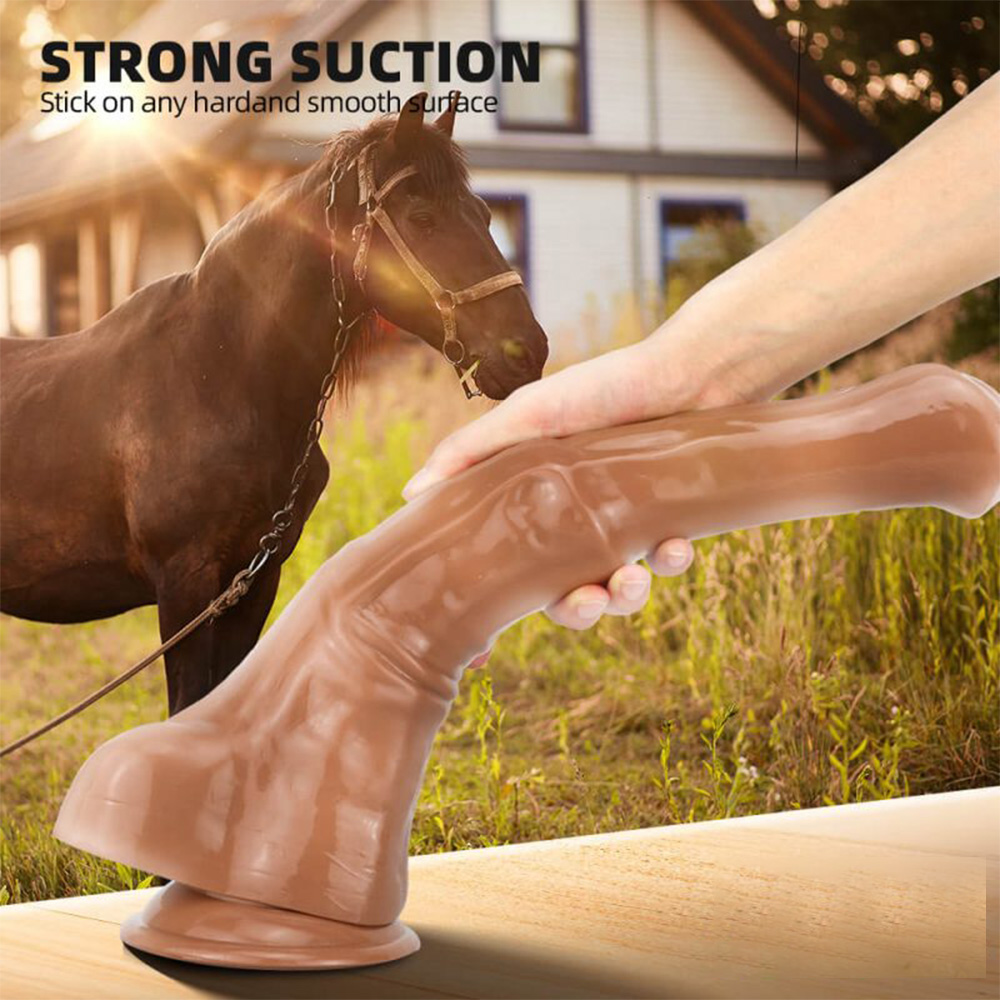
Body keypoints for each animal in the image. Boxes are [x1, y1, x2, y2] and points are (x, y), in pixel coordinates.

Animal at [0, 93, 548, 715]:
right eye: (422, 219)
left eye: (484, 215)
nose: (528, 350)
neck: (215, 376)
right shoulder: (185, 585)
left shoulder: (255, 580)